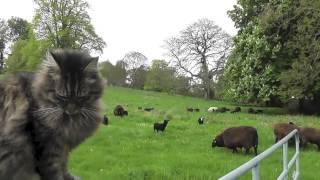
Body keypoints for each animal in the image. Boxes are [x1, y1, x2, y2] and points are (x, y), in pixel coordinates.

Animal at [0, 49, 104, 180]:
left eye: (81, 96)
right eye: (62, 95)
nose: (71, 109)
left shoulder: (64, 147)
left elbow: (64, 164)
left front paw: (69, 177)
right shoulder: (47, 150)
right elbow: (54, 173)